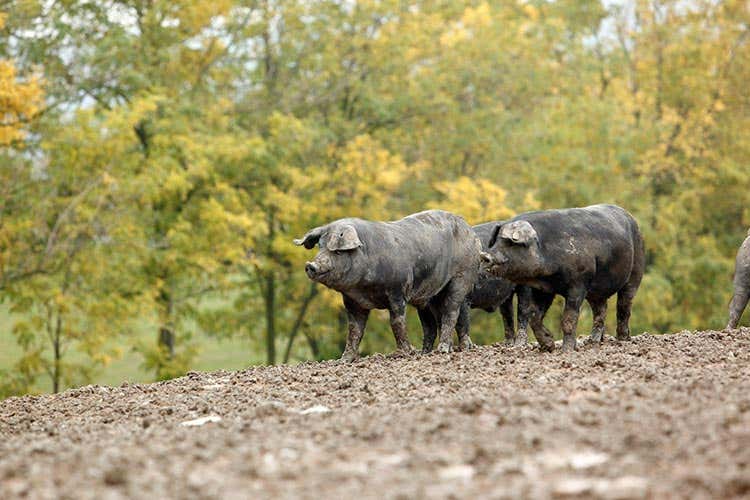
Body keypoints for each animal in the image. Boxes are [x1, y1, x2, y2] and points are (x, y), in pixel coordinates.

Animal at [294, 210, 481, 361]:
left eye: (338, 251)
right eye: (320, 247)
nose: (311, 265)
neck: (363, 288)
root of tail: (471, 232)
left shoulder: (398, 291)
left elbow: (396, 322)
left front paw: (404, 353)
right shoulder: (352, 301)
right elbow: (354, 330)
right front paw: (344, 360)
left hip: (462, 278)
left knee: (451, 311)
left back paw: (443, 350)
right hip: (431, 295)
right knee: (438, 322)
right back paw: (430, 353)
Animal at [480, 204, 645, 352]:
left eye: (510, 243)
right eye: (495, 241)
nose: (485, 256)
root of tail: (630, 217)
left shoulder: (578, 283)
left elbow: (568, 319)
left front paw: (566, 351)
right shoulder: (544, 289)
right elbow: (534, 316)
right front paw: (549, 346)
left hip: (636, 271)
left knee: (624, 305)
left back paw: (622, 339)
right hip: (595, 290)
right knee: (601, 309)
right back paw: (592, 342)